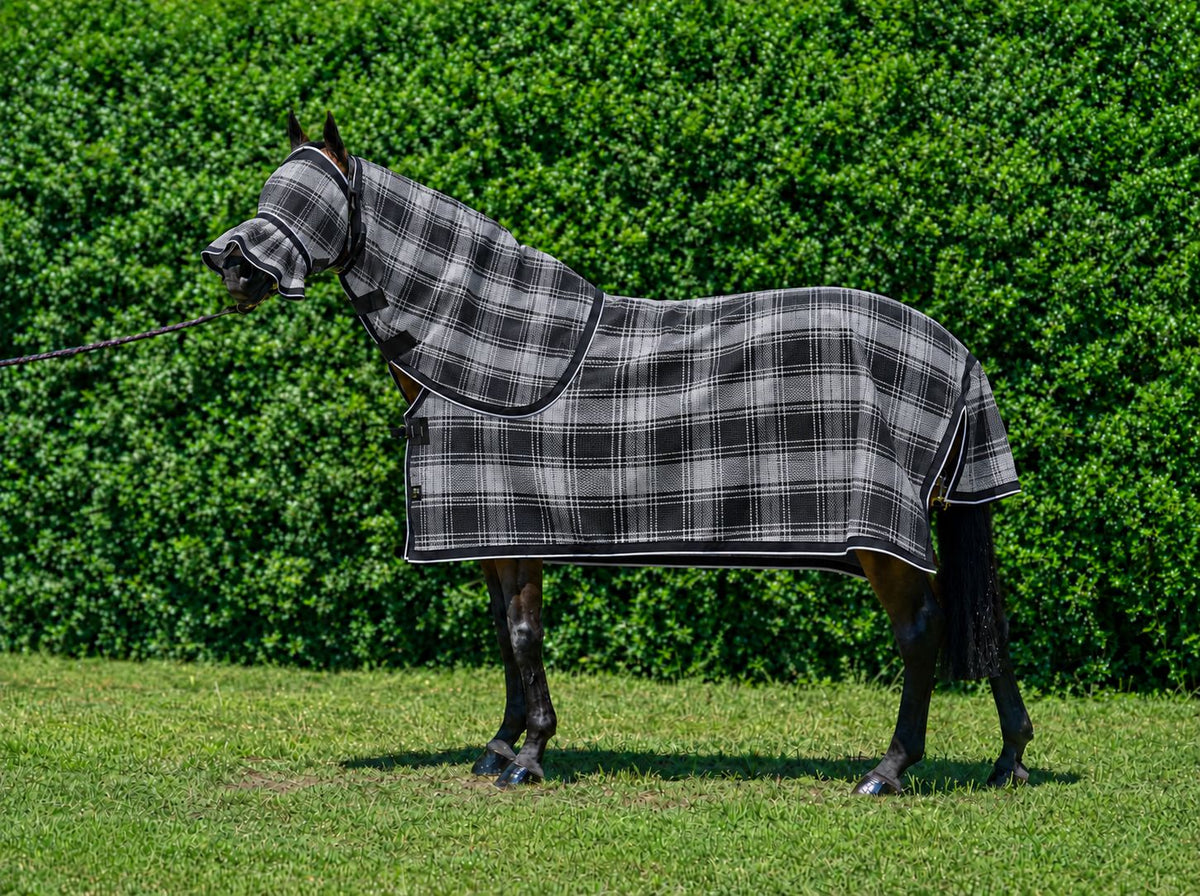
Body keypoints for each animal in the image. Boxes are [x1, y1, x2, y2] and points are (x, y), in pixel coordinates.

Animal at [203, 112, 1033, 795]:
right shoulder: (496, 538)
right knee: (985, 622)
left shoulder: (518, 532)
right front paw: (500, 747)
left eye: (309, 198)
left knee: (920, 632)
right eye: (271, 189)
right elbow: (504, 635)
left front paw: (530, 756)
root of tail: (957, 354)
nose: (230, 263)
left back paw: (889, 770)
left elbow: (524, 635)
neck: (486, 353)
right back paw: (1010, 760)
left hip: (879, 541)